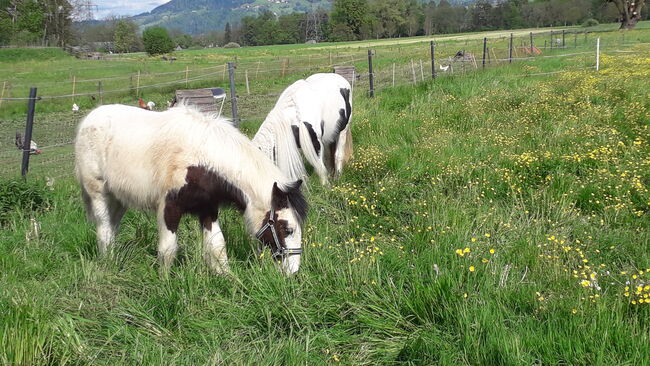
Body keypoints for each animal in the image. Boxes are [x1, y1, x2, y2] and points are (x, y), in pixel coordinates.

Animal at [74, 103, 308, 274]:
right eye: (288, 229)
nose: (293, 271)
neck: (200, 159)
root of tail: (89, 119)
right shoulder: (169, 207)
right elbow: (167, 250)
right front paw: (165, 283)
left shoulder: (208, 209)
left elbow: (217, 247)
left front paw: (228, 279)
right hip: (98, 194)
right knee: (104, 229)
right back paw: (108, 264)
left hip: (119, 200)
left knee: (112, 227)